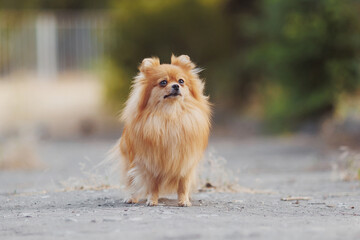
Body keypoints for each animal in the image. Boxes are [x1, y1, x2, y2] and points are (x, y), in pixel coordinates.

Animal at [117, 54, 211, 206]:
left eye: (181, 81)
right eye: (163, 82)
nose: (176, 86)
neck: (170, 115)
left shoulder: (186, 162)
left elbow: (183, 185)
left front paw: (184, 201)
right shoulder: (150, 164)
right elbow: (152, 185)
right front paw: (152, 200)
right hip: (130, 161)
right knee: (132, 182)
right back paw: (132, 198)